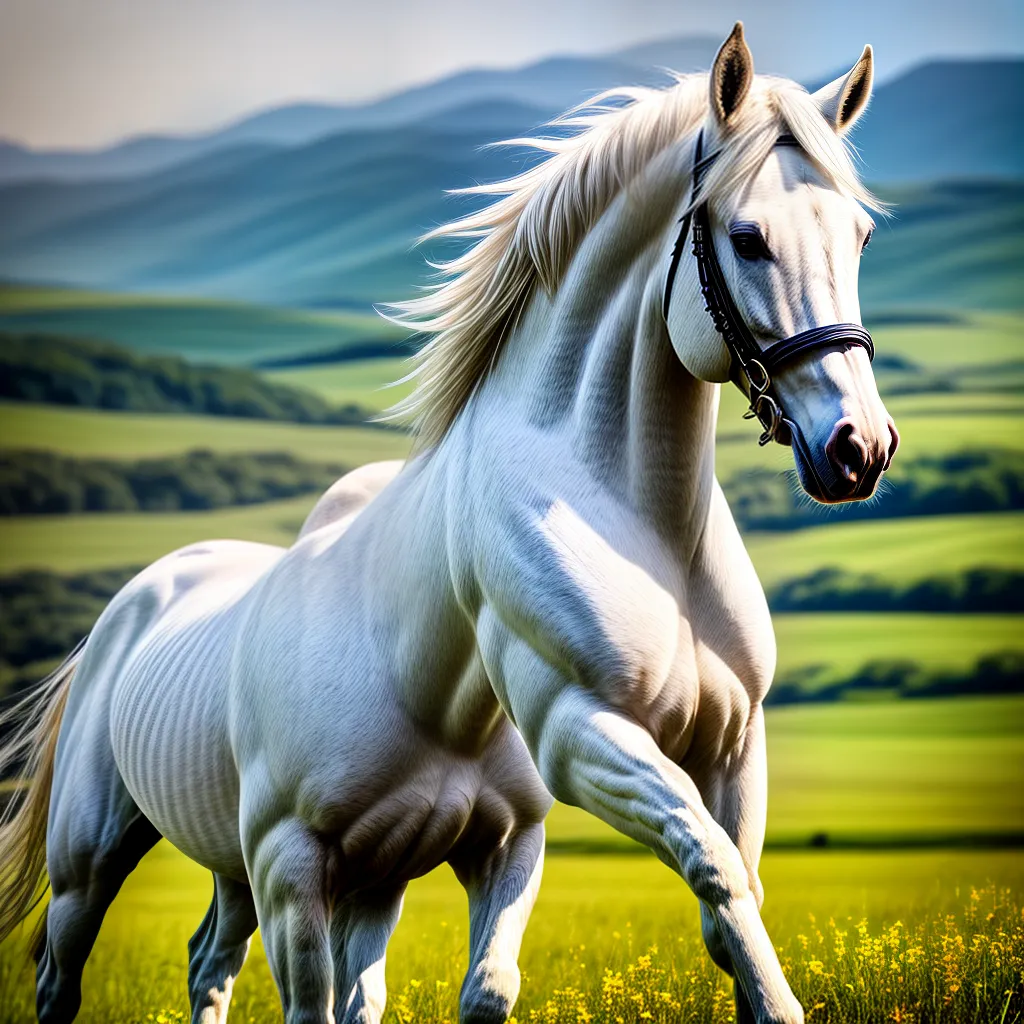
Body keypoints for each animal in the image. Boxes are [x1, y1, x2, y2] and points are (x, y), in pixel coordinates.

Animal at [0, 23, 899, 1024]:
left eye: (860, 235)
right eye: (747, 238)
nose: (859, 448)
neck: (647, 535)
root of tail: (128, 611)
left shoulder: (713, 752)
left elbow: (696, 915)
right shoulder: (571, 734)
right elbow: (713, 866)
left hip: (294, 872)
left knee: (210, 960)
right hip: (118, 866)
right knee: (66, 974)